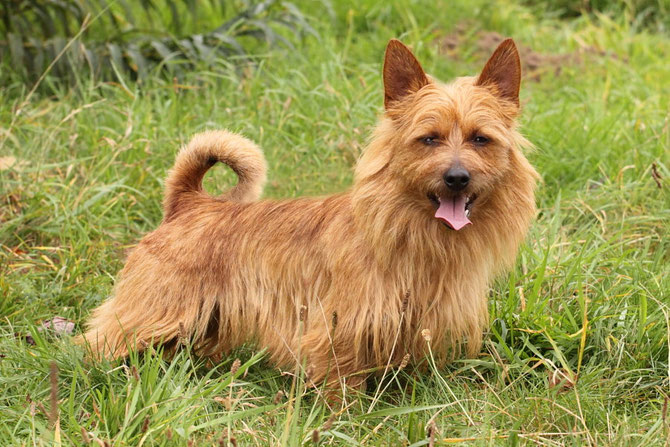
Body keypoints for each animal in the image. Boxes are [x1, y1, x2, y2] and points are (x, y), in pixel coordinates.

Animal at [79, 38, 540, 392]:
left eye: (480, 139)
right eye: (429, 139)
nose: (457, 178)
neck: (414, 236)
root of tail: (190, 203)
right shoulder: (340, 326)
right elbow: (342, 381)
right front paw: (347, 420)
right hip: (152, 312)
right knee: (99, 342)